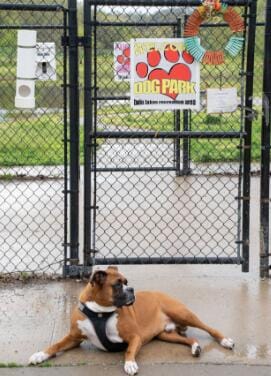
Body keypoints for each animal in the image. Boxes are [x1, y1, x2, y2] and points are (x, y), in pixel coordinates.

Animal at [28, 266, 235, 374]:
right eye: (118, 285)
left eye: (127, 282)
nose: (132, 289)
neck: (100, 312)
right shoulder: (74, 338)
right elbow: (55, 345)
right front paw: (40, 355)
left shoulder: (135, 337)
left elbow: (128, 350)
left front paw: (129, 363)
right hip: (165, 335)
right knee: (190, 338)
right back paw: (195, 347)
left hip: (183, 313)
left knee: (210, 329)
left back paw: (225, 341)